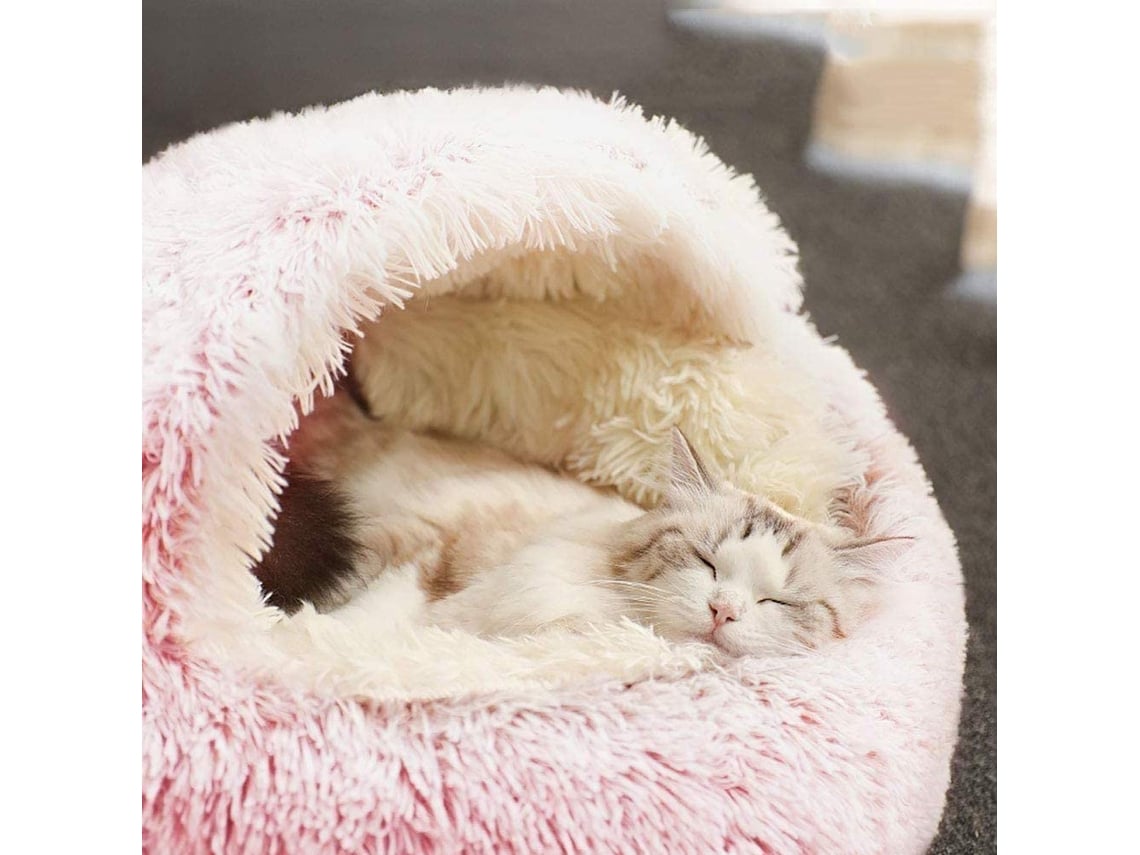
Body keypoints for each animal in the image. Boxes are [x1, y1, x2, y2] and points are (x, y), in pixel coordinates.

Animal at [252, 392, 906, 656]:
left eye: (779, 602)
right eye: (706, 562)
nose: (723, 612)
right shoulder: (428, 548)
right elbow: (362, 620)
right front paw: (303, 644)